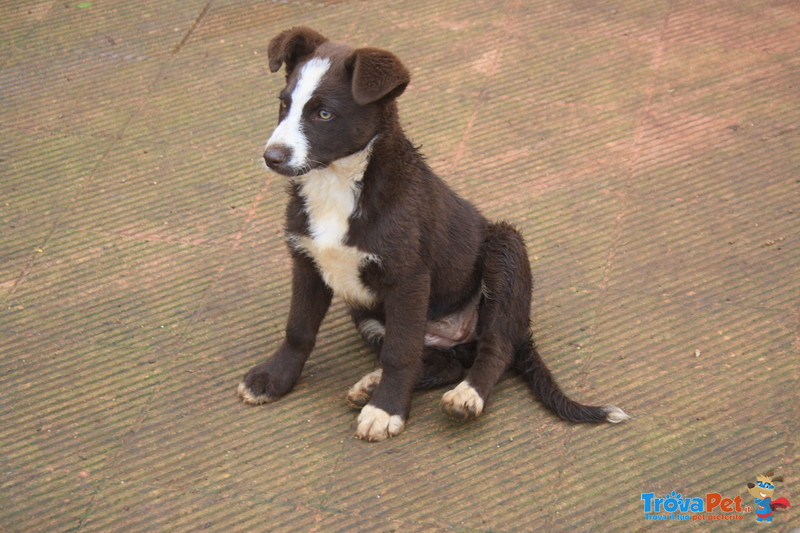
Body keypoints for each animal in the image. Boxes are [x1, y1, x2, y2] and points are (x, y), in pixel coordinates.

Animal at [239, 26, 632, 440]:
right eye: (283, 105)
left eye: (324, 113)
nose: (272, 157)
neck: (338, 184)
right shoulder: (307, 261)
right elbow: (298, 329)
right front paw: (273, 379)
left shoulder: (408, 278)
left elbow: (400, 353)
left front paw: (387, 409)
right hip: (366, 312)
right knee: (445, 363)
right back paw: (372, 385)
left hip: (505, 251)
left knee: (494, 348)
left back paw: (466, 395)